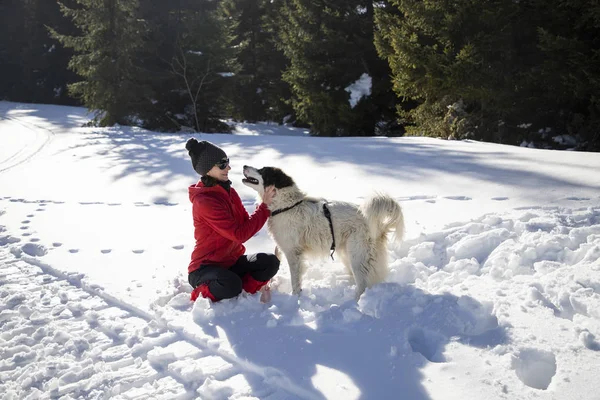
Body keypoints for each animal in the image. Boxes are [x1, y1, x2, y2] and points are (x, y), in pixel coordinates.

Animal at [241, 164, 406, 298]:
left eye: (262, 170)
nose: (244, 165)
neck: (286, 205)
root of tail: (378, 226)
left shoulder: (293, 253)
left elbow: (295, 280)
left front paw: (295, 298)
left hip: (357, 256)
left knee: (363, 284)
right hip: (348, 253)